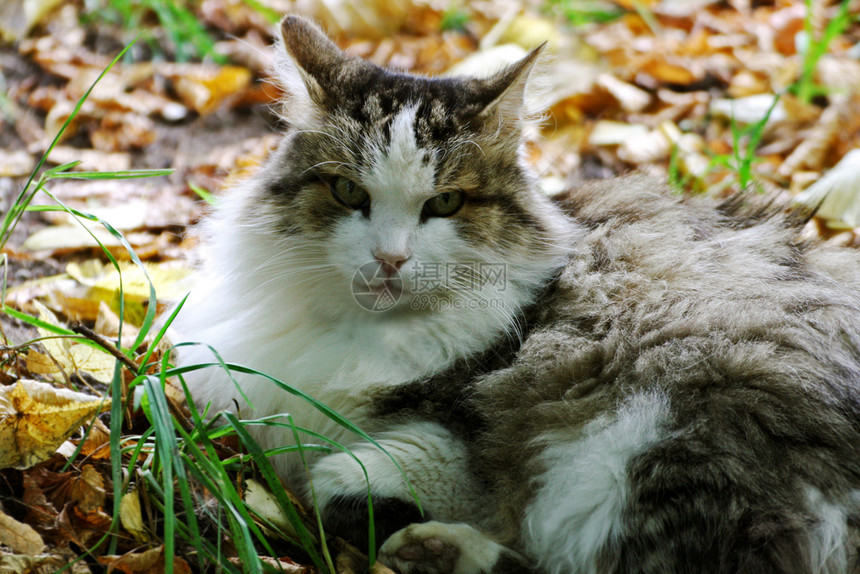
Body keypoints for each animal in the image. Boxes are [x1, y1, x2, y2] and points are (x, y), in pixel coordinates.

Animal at [171, 13, 860, 574]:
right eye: (348, 193)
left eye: (446, 204)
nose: (390, 259)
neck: (359, 332)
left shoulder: (445, 448)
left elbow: (333, 485)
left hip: (652, 447)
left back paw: (441, 551)